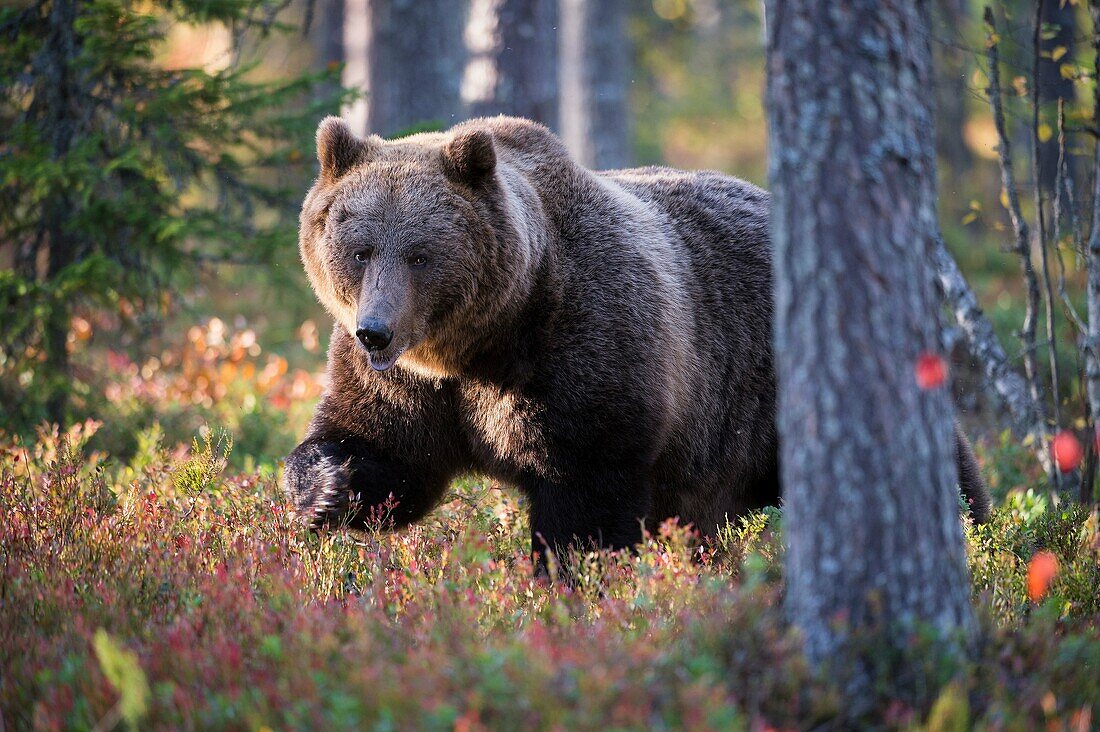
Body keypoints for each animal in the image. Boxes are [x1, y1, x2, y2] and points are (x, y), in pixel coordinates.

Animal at [283, 112, 990, 559]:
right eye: (358, 249)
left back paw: (982, 544)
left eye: (421, 254)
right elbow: (386, 454)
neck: (483, 344)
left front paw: (571, 584)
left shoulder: (588, 356)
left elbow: (586, 498)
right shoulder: (416, 391)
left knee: (951, 470)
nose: (376, 333)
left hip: (764, 389)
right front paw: (323, 489)